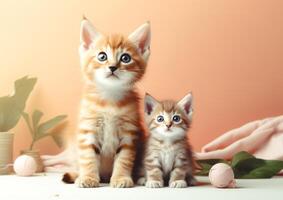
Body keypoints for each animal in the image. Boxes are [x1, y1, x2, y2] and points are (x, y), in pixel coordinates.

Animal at [62, 18, 151, 188]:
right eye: (102, 56)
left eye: (125, 58)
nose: (112, 67)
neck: (110, 99)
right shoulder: (89, 129)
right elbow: (88, 158)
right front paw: (88, 177)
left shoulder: (129, 133)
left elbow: (124, 158)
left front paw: (121, 178)